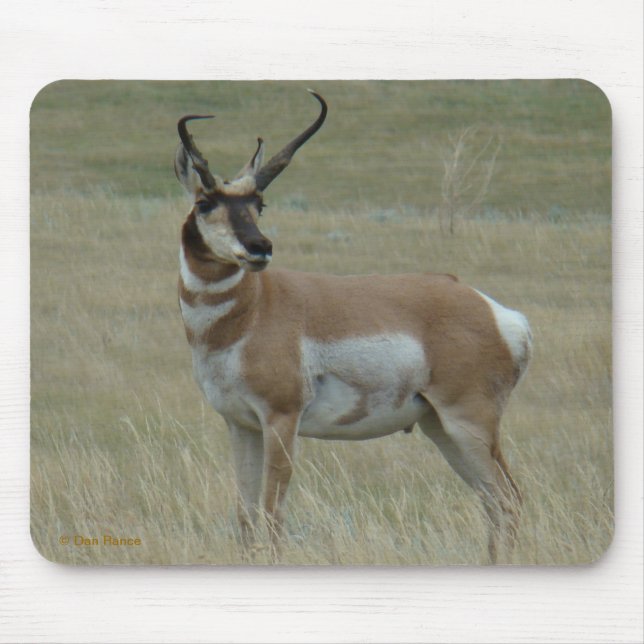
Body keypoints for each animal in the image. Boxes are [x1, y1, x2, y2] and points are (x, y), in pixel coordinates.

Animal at [174, 90, 532, 562]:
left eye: (258, 204)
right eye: (205, 202)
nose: (259, 247)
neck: (252, 310)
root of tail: (498, 313)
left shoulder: (280, 420)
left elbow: (272, 516)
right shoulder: (241, 425)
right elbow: (246, 519)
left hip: (468, 423)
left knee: (509, 500)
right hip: (442, 429)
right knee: (494, 502)